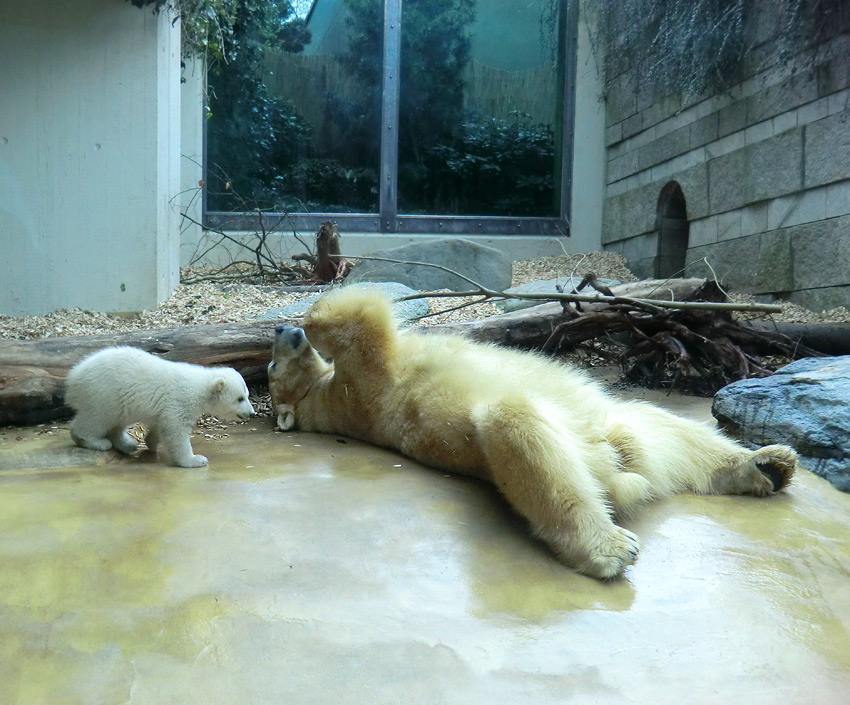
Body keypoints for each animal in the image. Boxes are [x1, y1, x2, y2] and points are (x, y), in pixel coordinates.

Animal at [66, 346, 253, 468]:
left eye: (247, 395)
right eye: (240, 398)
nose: (251, 413)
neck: (199, 386)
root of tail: (73, 379)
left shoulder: (165, 408)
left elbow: (160, 425)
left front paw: (151, 443)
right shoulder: (179, 401)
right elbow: (175, 430)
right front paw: (195, 460)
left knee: (118, 421)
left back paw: (127, 444)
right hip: (103, 393)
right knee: (96, 419)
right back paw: (95, 441)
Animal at [268, 286, 800, 576]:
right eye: (272, 366)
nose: (280, 332)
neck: (321, 401)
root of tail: (619, 467)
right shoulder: (358, 391)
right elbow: (356, 326)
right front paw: (312, 316)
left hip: (626, 426)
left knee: (665, 426)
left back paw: (766, 464)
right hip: (542, 439)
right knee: (519, 428)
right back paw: (608, 547)